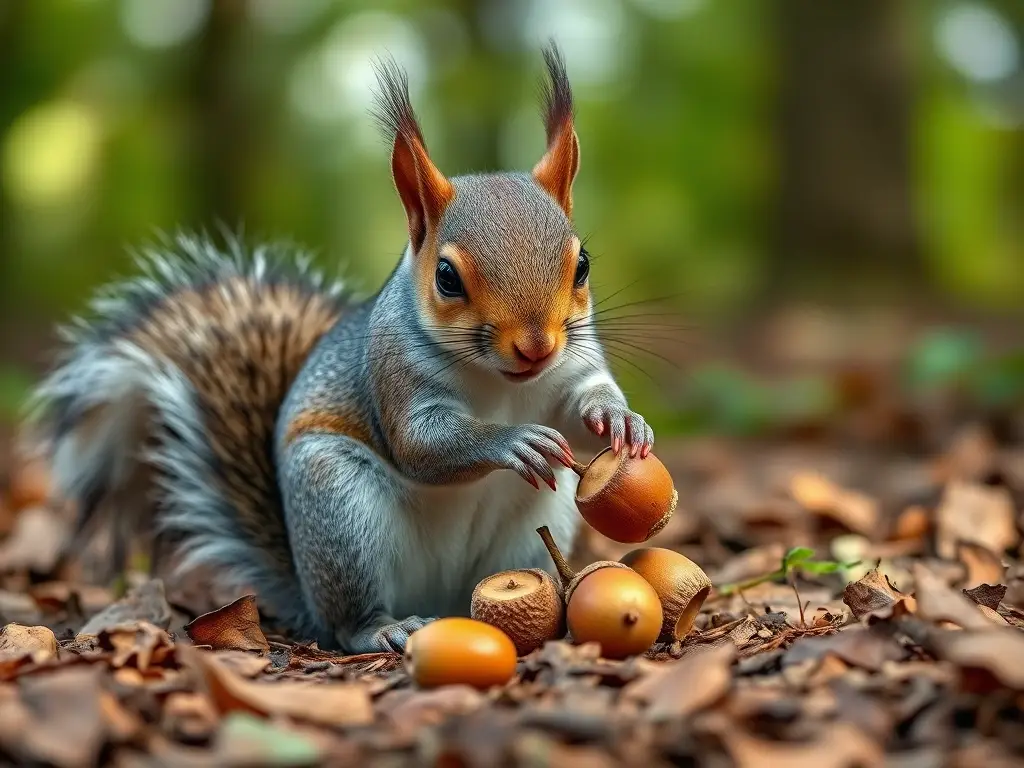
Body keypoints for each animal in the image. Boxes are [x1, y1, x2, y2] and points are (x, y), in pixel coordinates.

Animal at [29, 44, 654, 653]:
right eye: (447, 278)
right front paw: (512, 441)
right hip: (338, 507)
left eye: (582, 265)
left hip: (532, 524)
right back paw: (383, 628)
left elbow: (581, 402)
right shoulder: (393, 377)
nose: (536, 347)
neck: (501, 383)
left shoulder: (572, 364)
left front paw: (620, 420)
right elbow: (420, 445)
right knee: (350, 619)